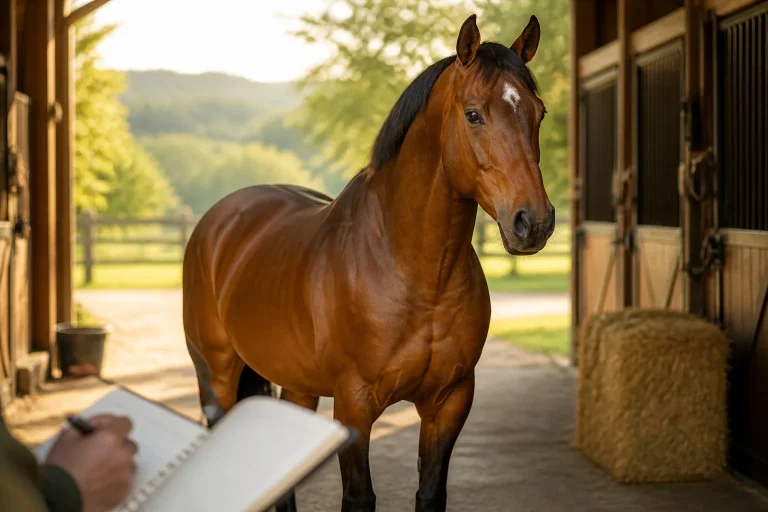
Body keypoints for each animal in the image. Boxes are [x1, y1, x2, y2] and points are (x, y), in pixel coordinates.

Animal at [183, 13, 554, 512]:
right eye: (474, 114)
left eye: (539, 112)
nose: (533, 222)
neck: (415, 272)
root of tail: (217, 221)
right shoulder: (354, 406)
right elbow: (360, 496)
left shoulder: (450, 401)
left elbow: (430, 492)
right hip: (215, 379)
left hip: (296, 386)